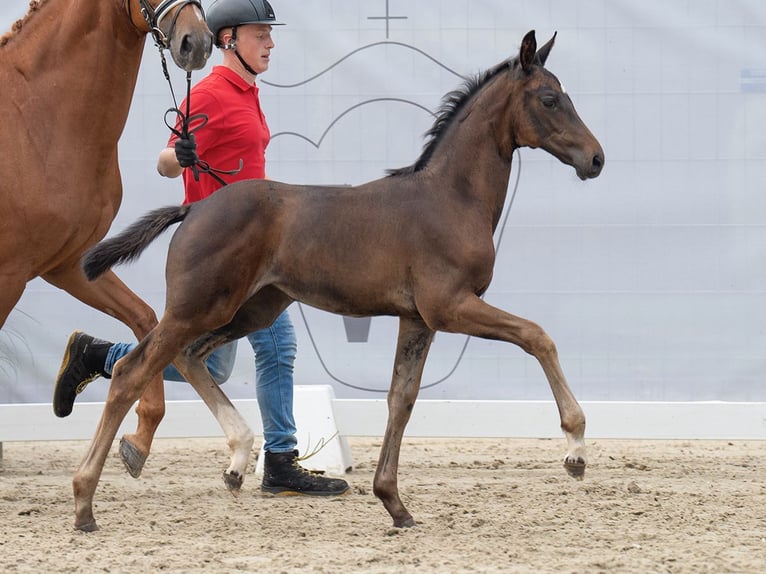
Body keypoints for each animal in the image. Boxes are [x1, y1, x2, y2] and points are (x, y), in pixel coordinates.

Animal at [0, 1, 210, 472]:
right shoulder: (10, 275)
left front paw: (140, 437)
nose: (198, 42)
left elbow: (144, 318)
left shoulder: (69, 263)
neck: (35, 117)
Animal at [73, 31, 608, 532]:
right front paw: (576, 448)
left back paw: (238, 457)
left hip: (250, 309)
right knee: (132, 372)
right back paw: (84, 501)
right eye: (549, 99)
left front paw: (394, 504)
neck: (450, 198)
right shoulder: (450, 306)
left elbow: (401, 399)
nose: (596, 159)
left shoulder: (417, 320)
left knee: (189, 356)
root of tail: (194, 208)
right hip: (197, 307)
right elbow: (537, 336)